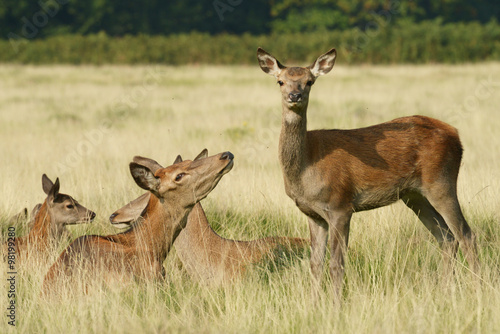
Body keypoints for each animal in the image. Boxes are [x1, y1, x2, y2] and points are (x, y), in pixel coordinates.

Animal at [258, 47, 480, 302]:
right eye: (280, 81)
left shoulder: (341, 205)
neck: (307, 168)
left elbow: (337, 264)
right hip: (414, 195)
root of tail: (457, 135)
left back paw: (478, 289)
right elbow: (315, 265)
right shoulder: (312, 214)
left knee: (466, 235)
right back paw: (444, 291)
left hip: (442, 181)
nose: (295, 96)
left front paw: (335, 305)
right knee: (446, 237)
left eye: (309, 81)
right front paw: (313, 304)